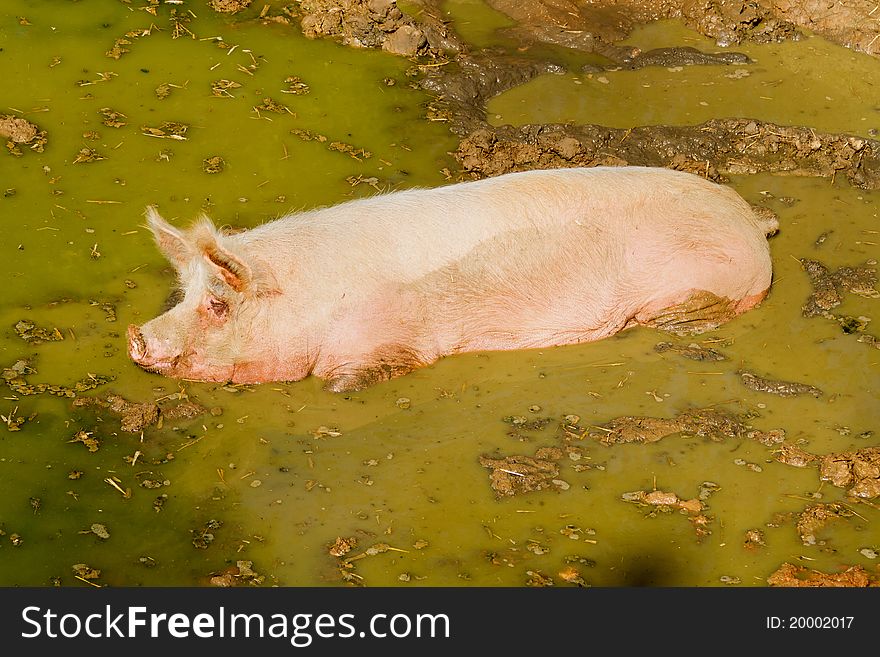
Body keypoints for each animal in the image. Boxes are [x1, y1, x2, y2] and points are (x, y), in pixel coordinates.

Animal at [127, 165, 772, 390]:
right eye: (183, 294)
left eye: (218, 305)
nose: (136, 337)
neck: (309, 298)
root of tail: (749, 221)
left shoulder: (388, 341)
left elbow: (344, 381)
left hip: (701, 281)